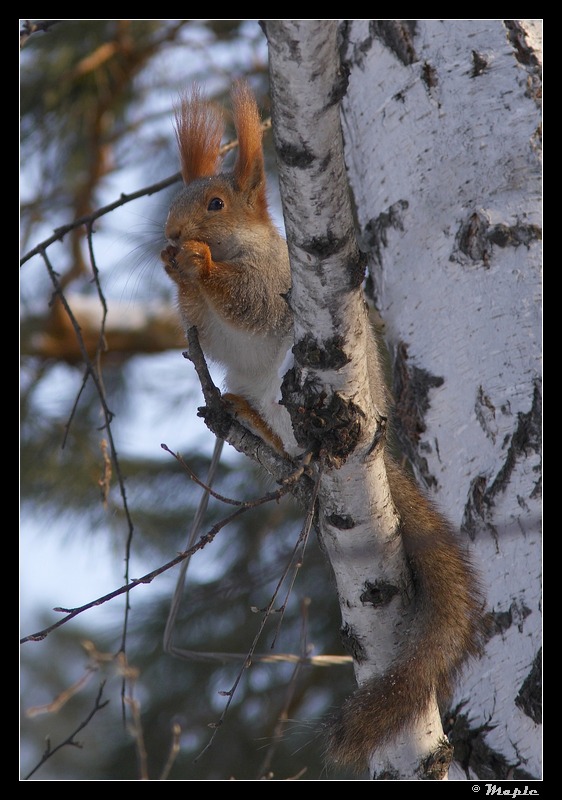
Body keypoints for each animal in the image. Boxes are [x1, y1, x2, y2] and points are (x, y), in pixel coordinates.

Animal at [160, 83, 484, 776]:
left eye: (216, 203)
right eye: (173, 203)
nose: (170, 234)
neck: (241, 243)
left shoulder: (271, 280)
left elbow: (246, 302)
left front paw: (196, 263)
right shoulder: (202, 327)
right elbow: (201, 324)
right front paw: (173, 266)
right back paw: (239, 411)